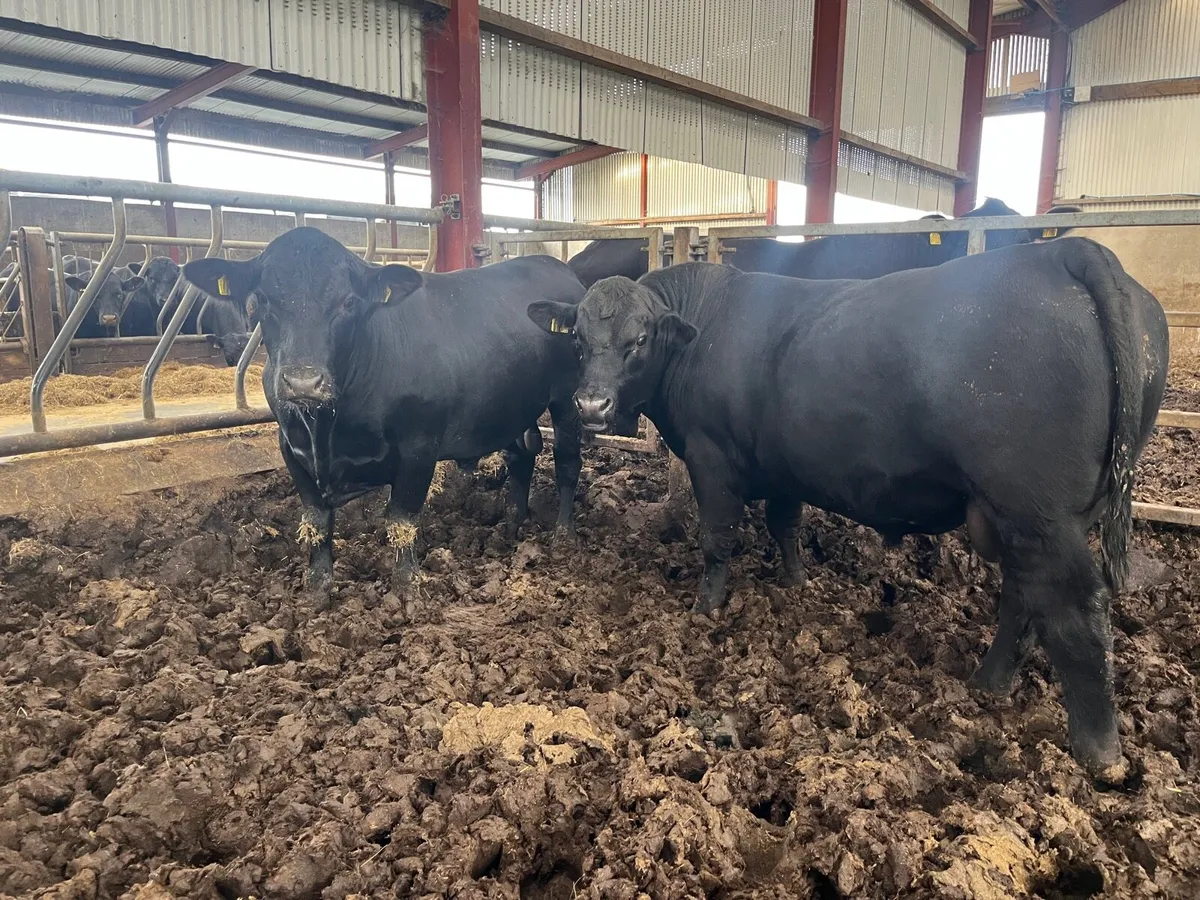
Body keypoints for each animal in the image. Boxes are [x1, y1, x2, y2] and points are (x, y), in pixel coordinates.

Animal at [182, 227, 584, 601]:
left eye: (348, 302)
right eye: (262, 299)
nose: (303, 382)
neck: (327, 428)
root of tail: (553, 265)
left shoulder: (419, 446)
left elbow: (401, 518)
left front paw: (408, 588)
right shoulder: (290, 446)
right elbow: (316, 520)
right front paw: (316, 589)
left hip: (567, 399)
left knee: (567, 461)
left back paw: (563, 534)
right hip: (512, 405)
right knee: (521, 456)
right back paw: (512, 527)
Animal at [528, 239, 1168, 778]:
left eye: (638, 339)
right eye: (578, 339)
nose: (590, 405)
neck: (705, 327)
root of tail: (1064, 251)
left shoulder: (712, 459)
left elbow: (718, 538)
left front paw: (705, 609)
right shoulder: (783, 463)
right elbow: (784, 524)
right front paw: (794, 582)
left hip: (1040, 517)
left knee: (1076, 610)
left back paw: (1098, 750)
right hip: (1026, 519)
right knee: (1022, 598)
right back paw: (989, 681)